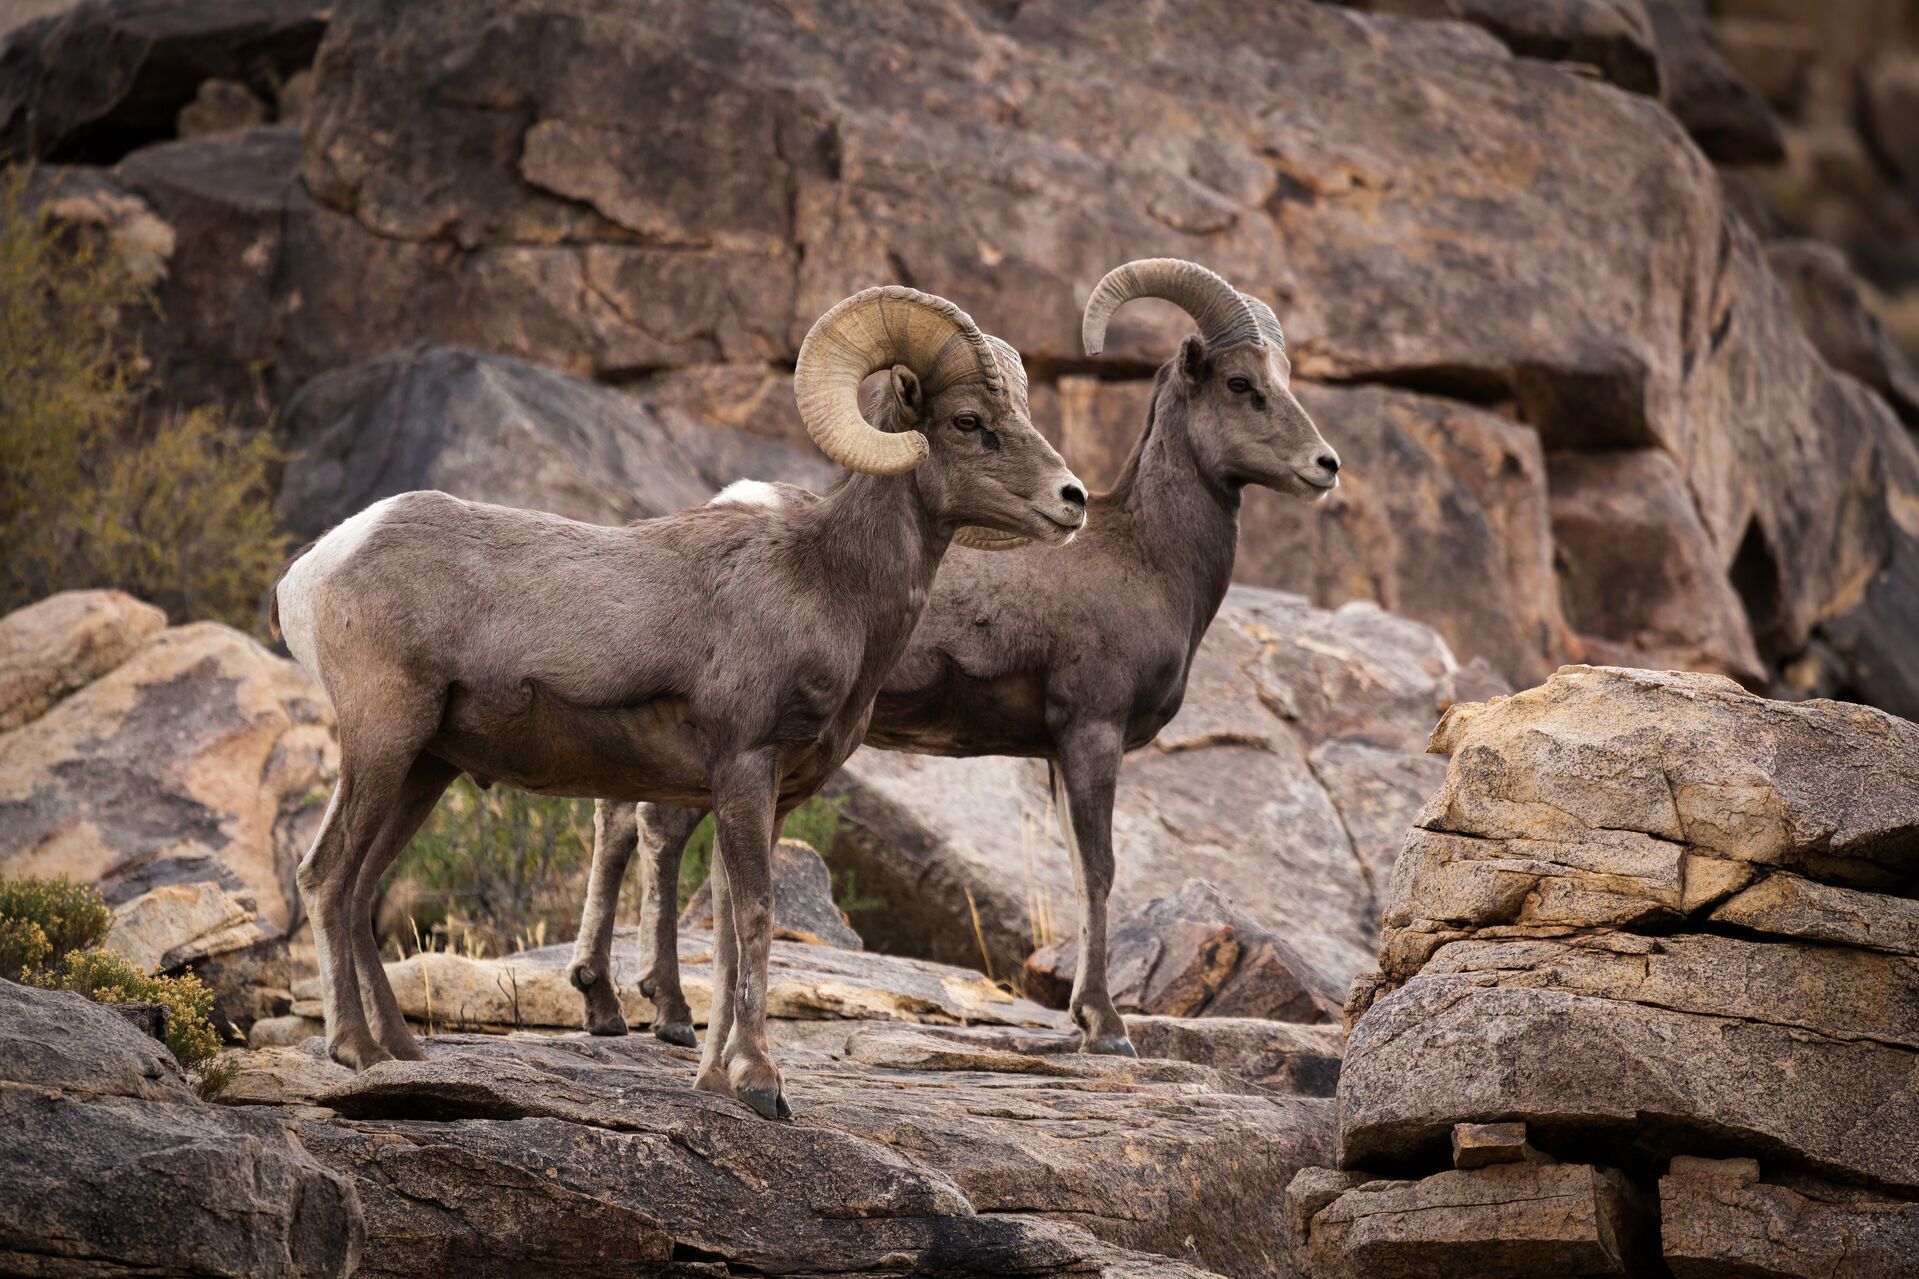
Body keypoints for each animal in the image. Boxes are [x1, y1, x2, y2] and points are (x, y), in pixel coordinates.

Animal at [272, 286, 1086, 1118]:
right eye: (968, 421)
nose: (1071, 499)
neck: (831, 582)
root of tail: (316, 568)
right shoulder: (745, 767)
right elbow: (755, 917)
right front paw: (761, 1083)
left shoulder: (765, 795)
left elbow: (725, 930)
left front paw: (713, 1077)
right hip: (384, 740)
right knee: (327, 876)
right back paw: (356, 1049)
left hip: (425, 768)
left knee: (361, 887)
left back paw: (402, 1051)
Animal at [569, 259, 1339, 1057]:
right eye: (1241, 384)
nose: (1326, 465)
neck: (1149, 556)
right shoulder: (1091, 734)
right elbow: (1098, 871)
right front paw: (1105, 1027)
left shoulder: (1057, 756)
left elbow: (1076, 868)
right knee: (658, 832)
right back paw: (667, 1012)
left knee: (618, 822)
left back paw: (606, 1002)